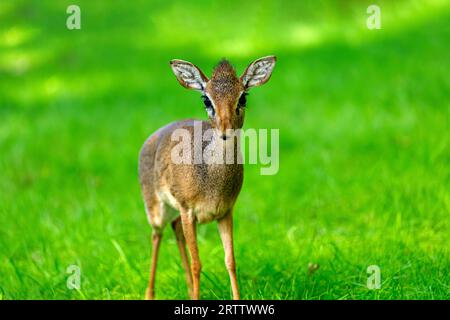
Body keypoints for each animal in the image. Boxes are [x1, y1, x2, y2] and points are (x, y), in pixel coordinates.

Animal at [139, 55, 276, 300]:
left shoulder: (226, 211)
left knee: (174, 229)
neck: (211, 184)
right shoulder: (188, 209)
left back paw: (186, 288)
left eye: (243, 96)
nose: (225, 129)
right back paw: (150, 294)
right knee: (157, 235)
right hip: (155, 206)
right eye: (206, 99)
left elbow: (230, 261)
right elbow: (197, 264)